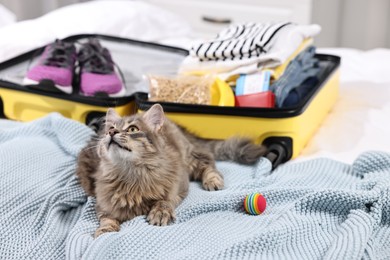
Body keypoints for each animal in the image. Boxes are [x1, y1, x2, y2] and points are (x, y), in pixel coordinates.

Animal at [74, 104, 266, 238]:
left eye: (132, 129)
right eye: (110, 129)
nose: (111, 132)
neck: (131, 174)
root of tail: (174, 122)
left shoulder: (176, 184)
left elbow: (164, 200)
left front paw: (160, 212)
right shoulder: (103, 204)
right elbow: (107, 219)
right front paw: (105, 231)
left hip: (190, 158)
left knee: (208, 163)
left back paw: (213, 181)